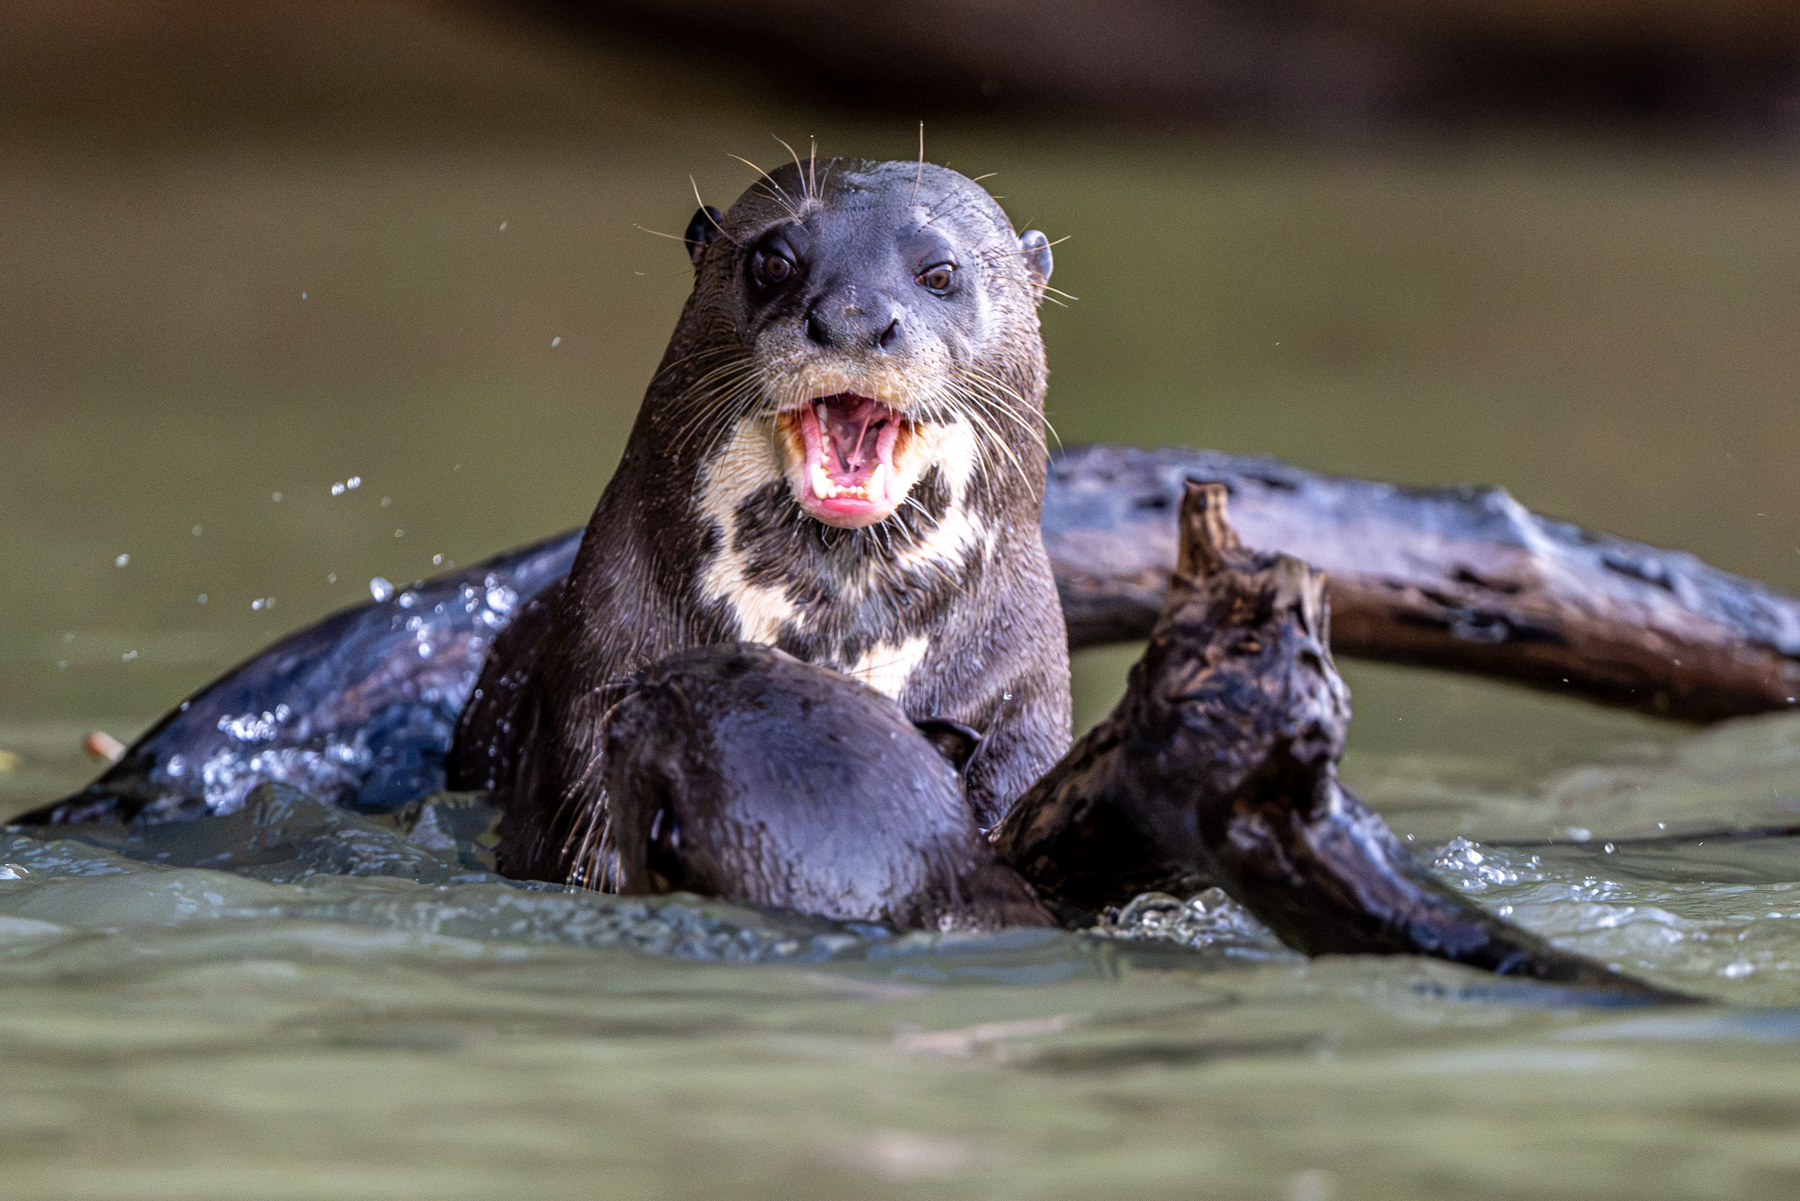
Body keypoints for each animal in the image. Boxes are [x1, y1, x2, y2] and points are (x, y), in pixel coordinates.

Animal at [449, 158, 1072, 886]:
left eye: (940, 272)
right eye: (774, 261)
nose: (853, 317)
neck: (830, 641)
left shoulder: (1021, 705)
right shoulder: (591, 683)